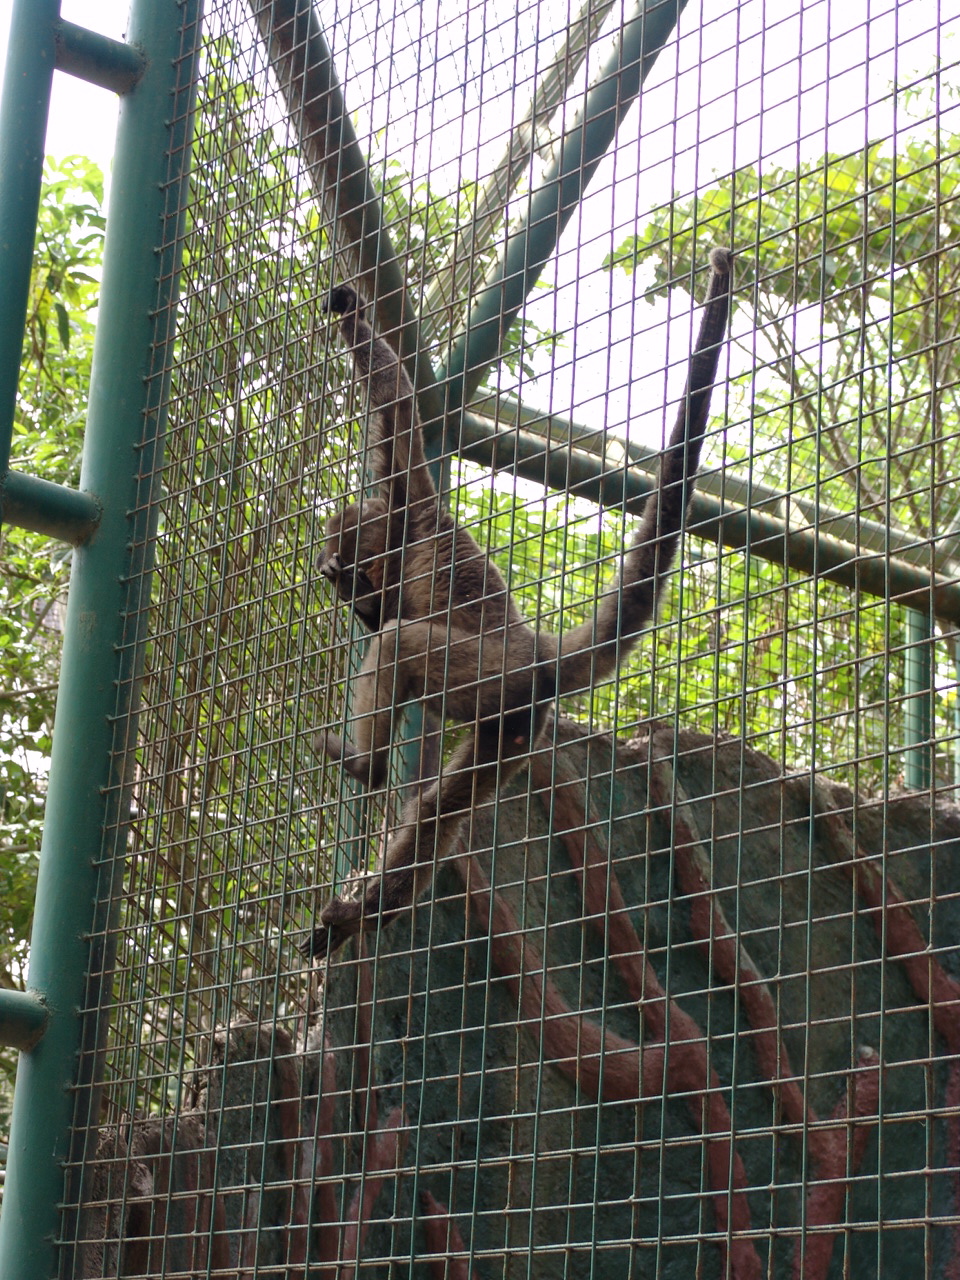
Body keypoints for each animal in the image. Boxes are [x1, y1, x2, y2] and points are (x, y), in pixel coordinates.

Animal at [308, 248, 733, 957]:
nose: (335, 576)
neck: (405, 534)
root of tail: (536, 652)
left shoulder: (412, 503)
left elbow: (396, 402)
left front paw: (351, 315)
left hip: (493, 677)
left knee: (400, 645)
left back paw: (367, 768)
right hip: (510, 725)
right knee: (439, 812)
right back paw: (362, 914)